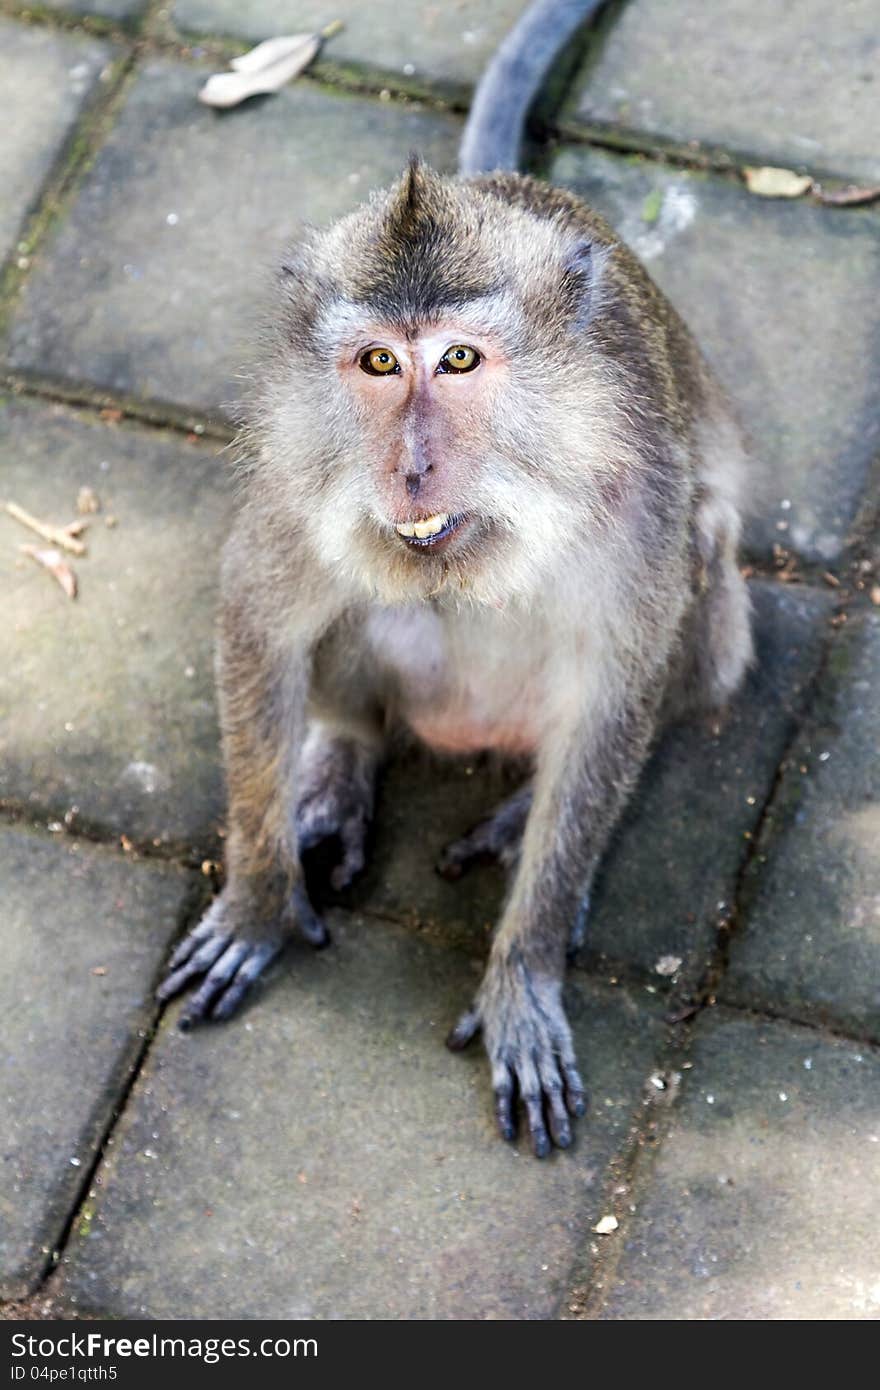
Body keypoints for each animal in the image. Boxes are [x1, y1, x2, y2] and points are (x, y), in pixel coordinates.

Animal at [156, 0, 750, 1156]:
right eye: (380, 363)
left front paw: (524, 970)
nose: (412, 467)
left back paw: (522, 819)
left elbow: (616, 692)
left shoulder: (636, 504)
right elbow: (261, 620)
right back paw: (341, 761)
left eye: (461, 360)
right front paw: (256, 896)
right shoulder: (300, 475)